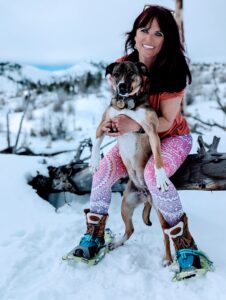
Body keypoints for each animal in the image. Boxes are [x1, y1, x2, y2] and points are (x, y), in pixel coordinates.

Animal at [89, 61, 172, 264]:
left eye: (130, 73)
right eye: (116, 74)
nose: (121, 87)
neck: (126, 105)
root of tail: (145, 195)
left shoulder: (151, 131)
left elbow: (158, 157)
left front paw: (160, 176)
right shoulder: (104, 124)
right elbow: (96, 141)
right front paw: (94, 161)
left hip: (160, 210)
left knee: (166, 234)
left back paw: (168, 259)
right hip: (125, 206)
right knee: (130, 229)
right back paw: (116, 243)